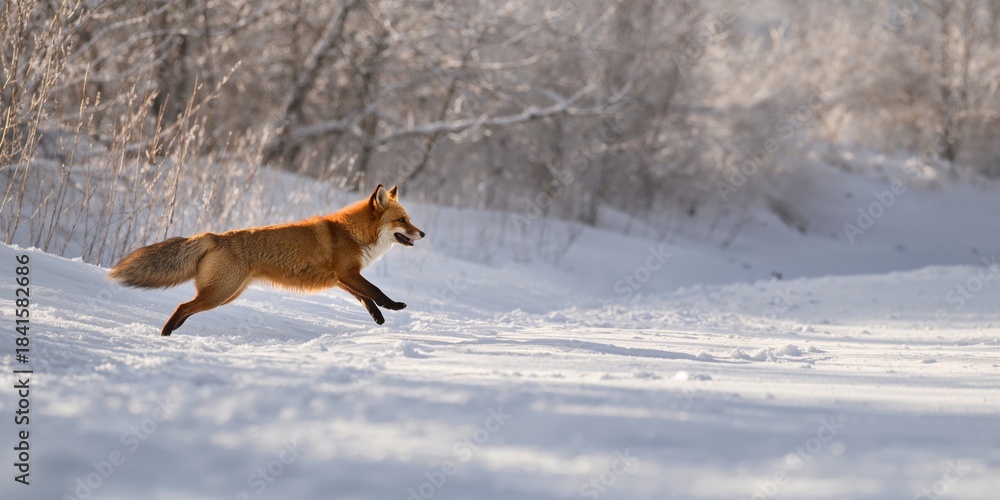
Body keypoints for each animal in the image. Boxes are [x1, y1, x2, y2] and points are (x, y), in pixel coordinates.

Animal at [108, 184, 424, 336]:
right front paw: (395, 306)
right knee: (182, 306)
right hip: (220, 294)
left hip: (227, 294)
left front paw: (379, 317)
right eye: (402, 220)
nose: (422, 233)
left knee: (186, 308)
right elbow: (376, 291)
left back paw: (172, 330)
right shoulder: (348, 273)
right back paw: (165, 334)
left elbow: (366, 298)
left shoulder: (341, 279)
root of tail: (215, 235)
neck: (352, 233)